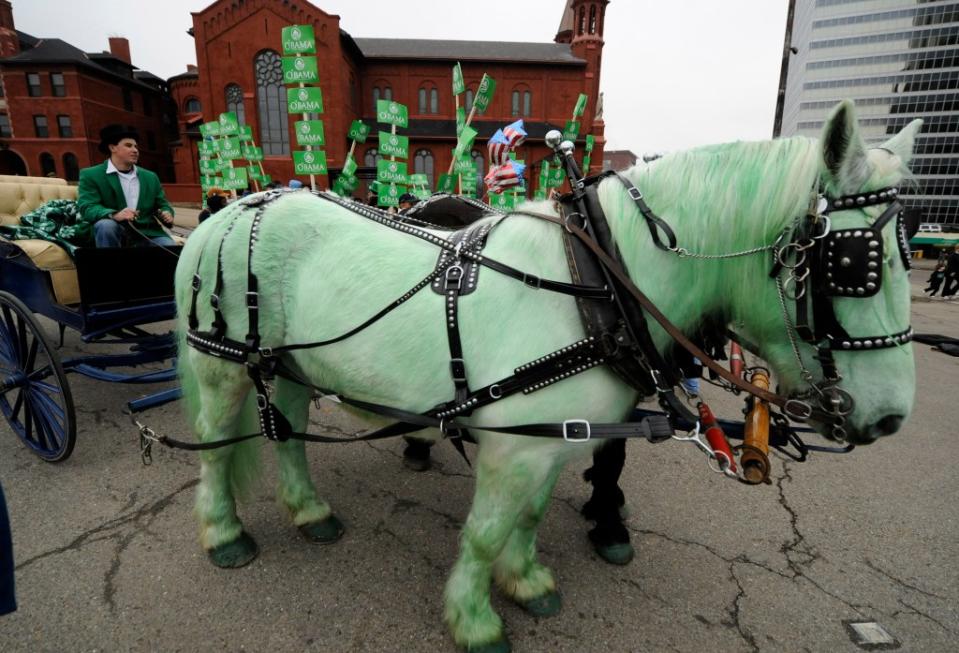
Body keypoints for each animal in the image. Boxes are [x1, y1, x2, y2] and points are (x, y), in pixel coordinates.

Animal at [178, 99, 924, 648]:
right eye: (852, 263)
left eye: (903, 249)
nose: (891, 418)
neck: (597, 282)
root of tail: (232, 209)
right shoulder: (512, 445)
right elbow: (485, 530)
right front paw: (474, 619)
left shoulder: (558, 436)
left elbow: (529, 516)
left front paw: (526, 579)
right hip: (223, 365)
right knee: (215, 448)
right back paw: (224, 532)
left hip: (292, 361)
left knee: (289, 432)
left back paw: (310, 511)